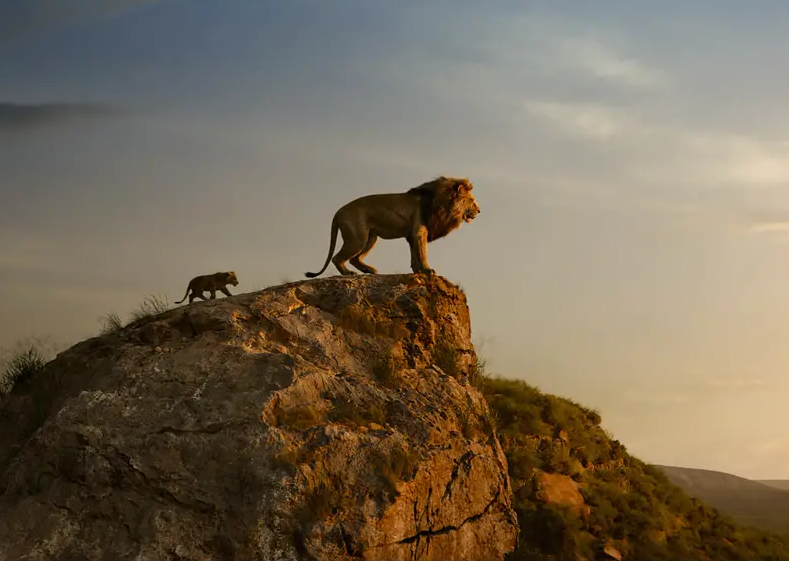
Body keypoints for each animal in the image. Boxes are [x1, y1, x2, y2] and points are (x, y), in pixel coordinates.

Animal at [304, 176, 480, 276]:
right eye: (472, 200)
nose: (479, 210)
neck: (442, 203)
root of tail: (338, 212)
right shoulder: (419, 232)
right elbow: (422, 253)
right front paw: (427, 270)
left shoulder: (412, 235)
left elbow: (414, 255)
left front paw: (418, 271)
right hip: (358, 238)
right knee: (337, 258)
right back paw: (348, 273)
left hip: (370, 238)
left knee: (354, 258)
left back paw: (369, 270)